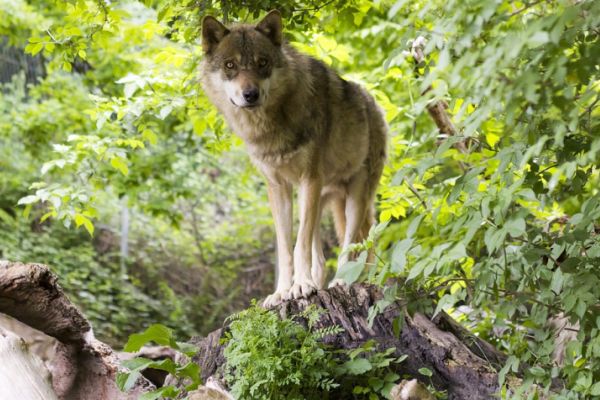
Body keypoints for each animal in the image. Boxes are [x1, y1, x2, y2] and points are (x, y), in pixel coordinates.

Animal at [200, 10, 390, 306]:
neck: (271, 126)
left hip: (354, 198)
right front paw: (282, 292)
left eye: (262, 63)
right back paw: (320, 283)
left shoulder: (308, 179)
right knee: (321, 257)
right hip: (321, 199)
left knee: (353, 243)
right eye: (230, 65)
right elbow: (285, 248)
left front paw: (300, 286)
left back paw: (344, 281)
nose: (250, 94)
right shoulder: (279, 188)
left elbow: (299, 244)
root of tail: (375, 104)